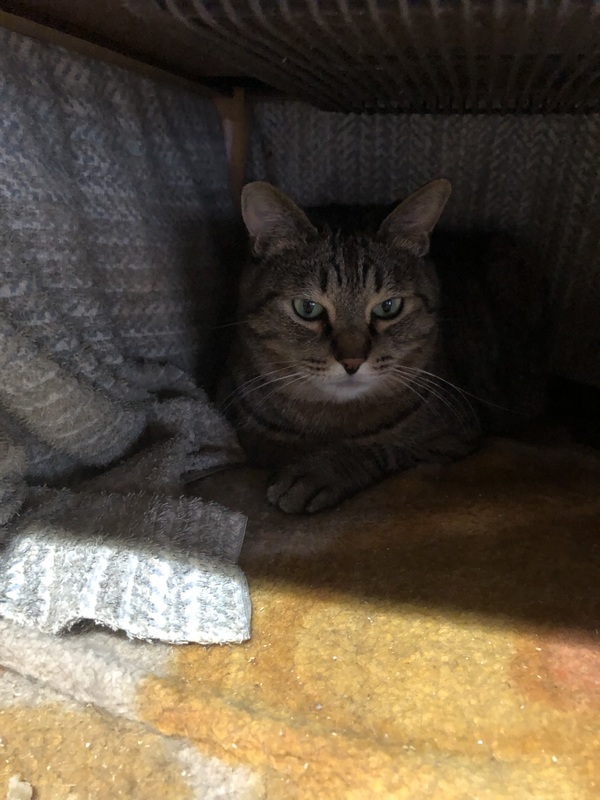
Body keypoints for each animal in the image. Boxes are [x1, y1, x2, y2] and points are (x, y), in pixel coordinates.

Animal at [220, 179, 547, 514]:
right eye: (307, 308)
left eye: (388, 307)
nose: (352, 361)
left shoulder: (454, 440)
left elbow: (386, 449)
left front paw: (320, 471)